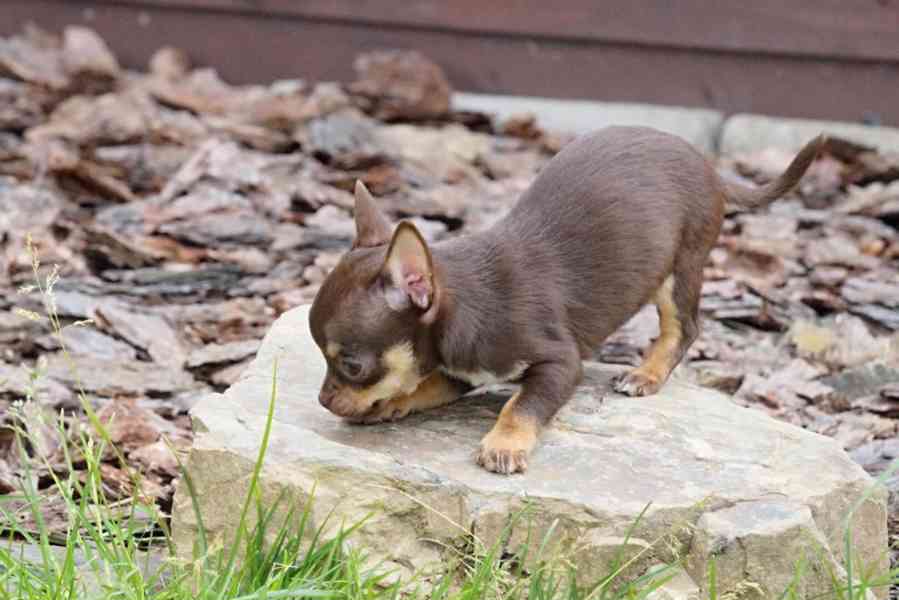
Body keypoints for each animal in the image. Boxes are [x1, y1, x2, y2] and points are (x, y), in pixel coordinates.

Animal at [308, 125, 824, 474]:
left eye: (351, 365)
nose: (322, 399)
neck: (468, 301)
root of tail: (710, 167)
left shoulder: (560, 362)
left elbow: (521, 403)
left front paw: (506, 443)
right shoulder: (462, 370)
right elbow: (426, 383)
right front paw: (395, 400)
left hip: (682, 265)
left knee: (685, 326)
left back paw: (646, 373)